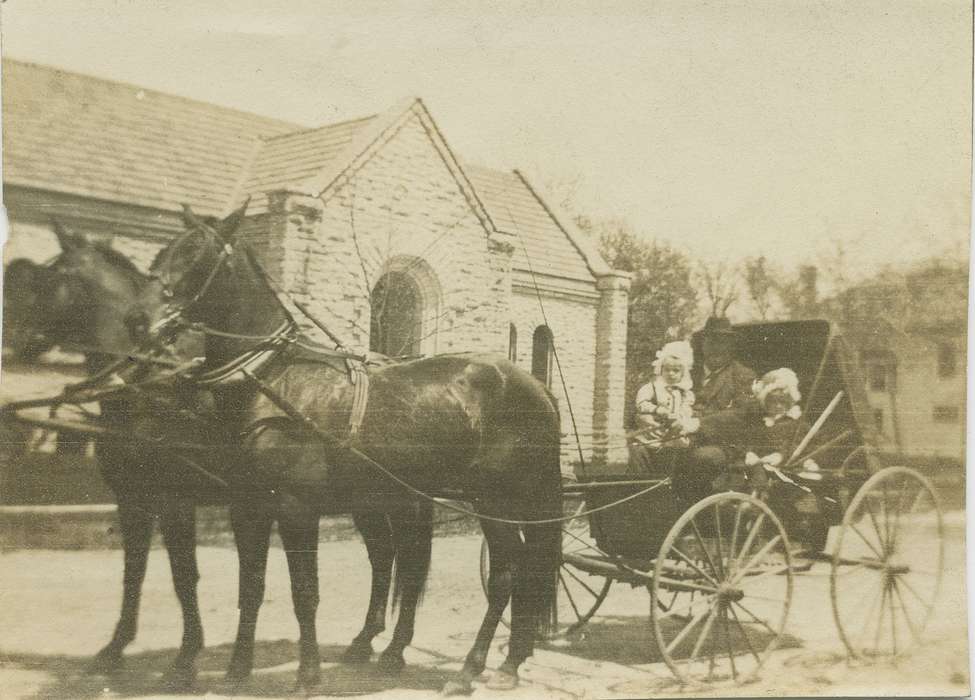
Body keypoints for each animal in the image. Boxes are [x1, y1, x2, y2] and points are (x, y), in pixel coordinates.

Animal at [136, 204, 564, 696]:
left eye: (195, 255)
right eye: (163, 253)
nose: (141, 322)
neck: (277, 379)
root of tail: (535, 385)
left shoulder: (297, 508)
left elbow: (304, 592)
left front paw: (307, 675)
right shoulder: (247, 507)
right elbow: (252, 587)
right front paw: (238, 671)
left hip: (498, 501)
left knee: (506, 575)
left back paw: (470, 668)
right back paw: (508, 661)